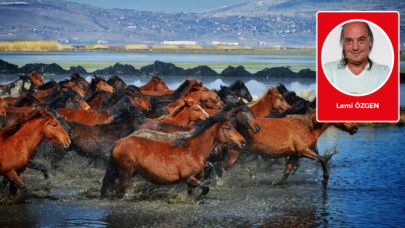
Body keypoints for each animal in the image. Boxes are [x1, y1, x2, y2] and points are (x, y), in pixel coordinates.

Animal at [101, 112, 246, 200]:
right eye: (227, 128)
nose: (243, 142)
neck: (194, 150)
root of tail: (119, 142)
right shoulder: (189, 178)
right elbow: (206, 187)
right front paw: (199, 198)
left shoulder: (192, 181)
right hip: (125, 174)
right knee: (119, 192)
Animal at [221, 109, 356, 188]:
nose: (355, 128)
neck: (308, 127)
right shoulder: (304, 151)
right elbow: (322, 159)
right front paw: (325, 180)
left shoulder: (294, 155)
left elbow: (286, 172)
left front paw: (276, 183)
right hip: (235, 153)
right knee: (223, 167)